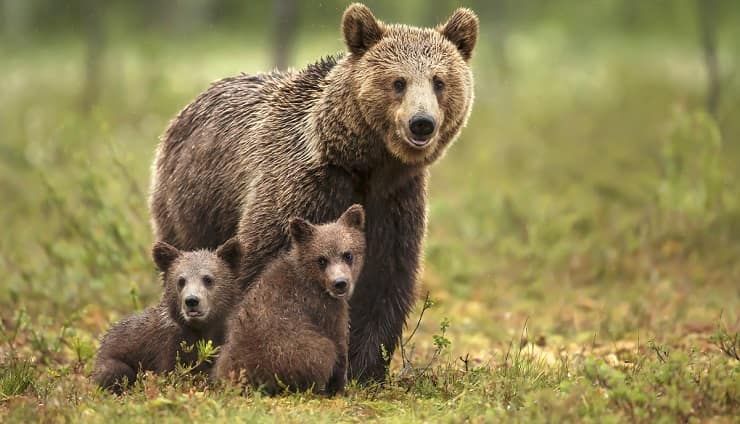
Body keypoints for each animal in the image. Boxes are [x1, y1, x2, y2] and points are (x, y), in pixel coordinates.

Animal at [149, 3, 480, 380]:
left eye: (439, 81)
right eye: (398, 82)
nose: (421, 123)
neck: (364, 164)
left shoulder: (394, 202)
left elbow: (384, 280)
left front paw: (365, 367)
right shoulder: (302, 188)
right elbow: (261, 266)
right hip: (192, 203)